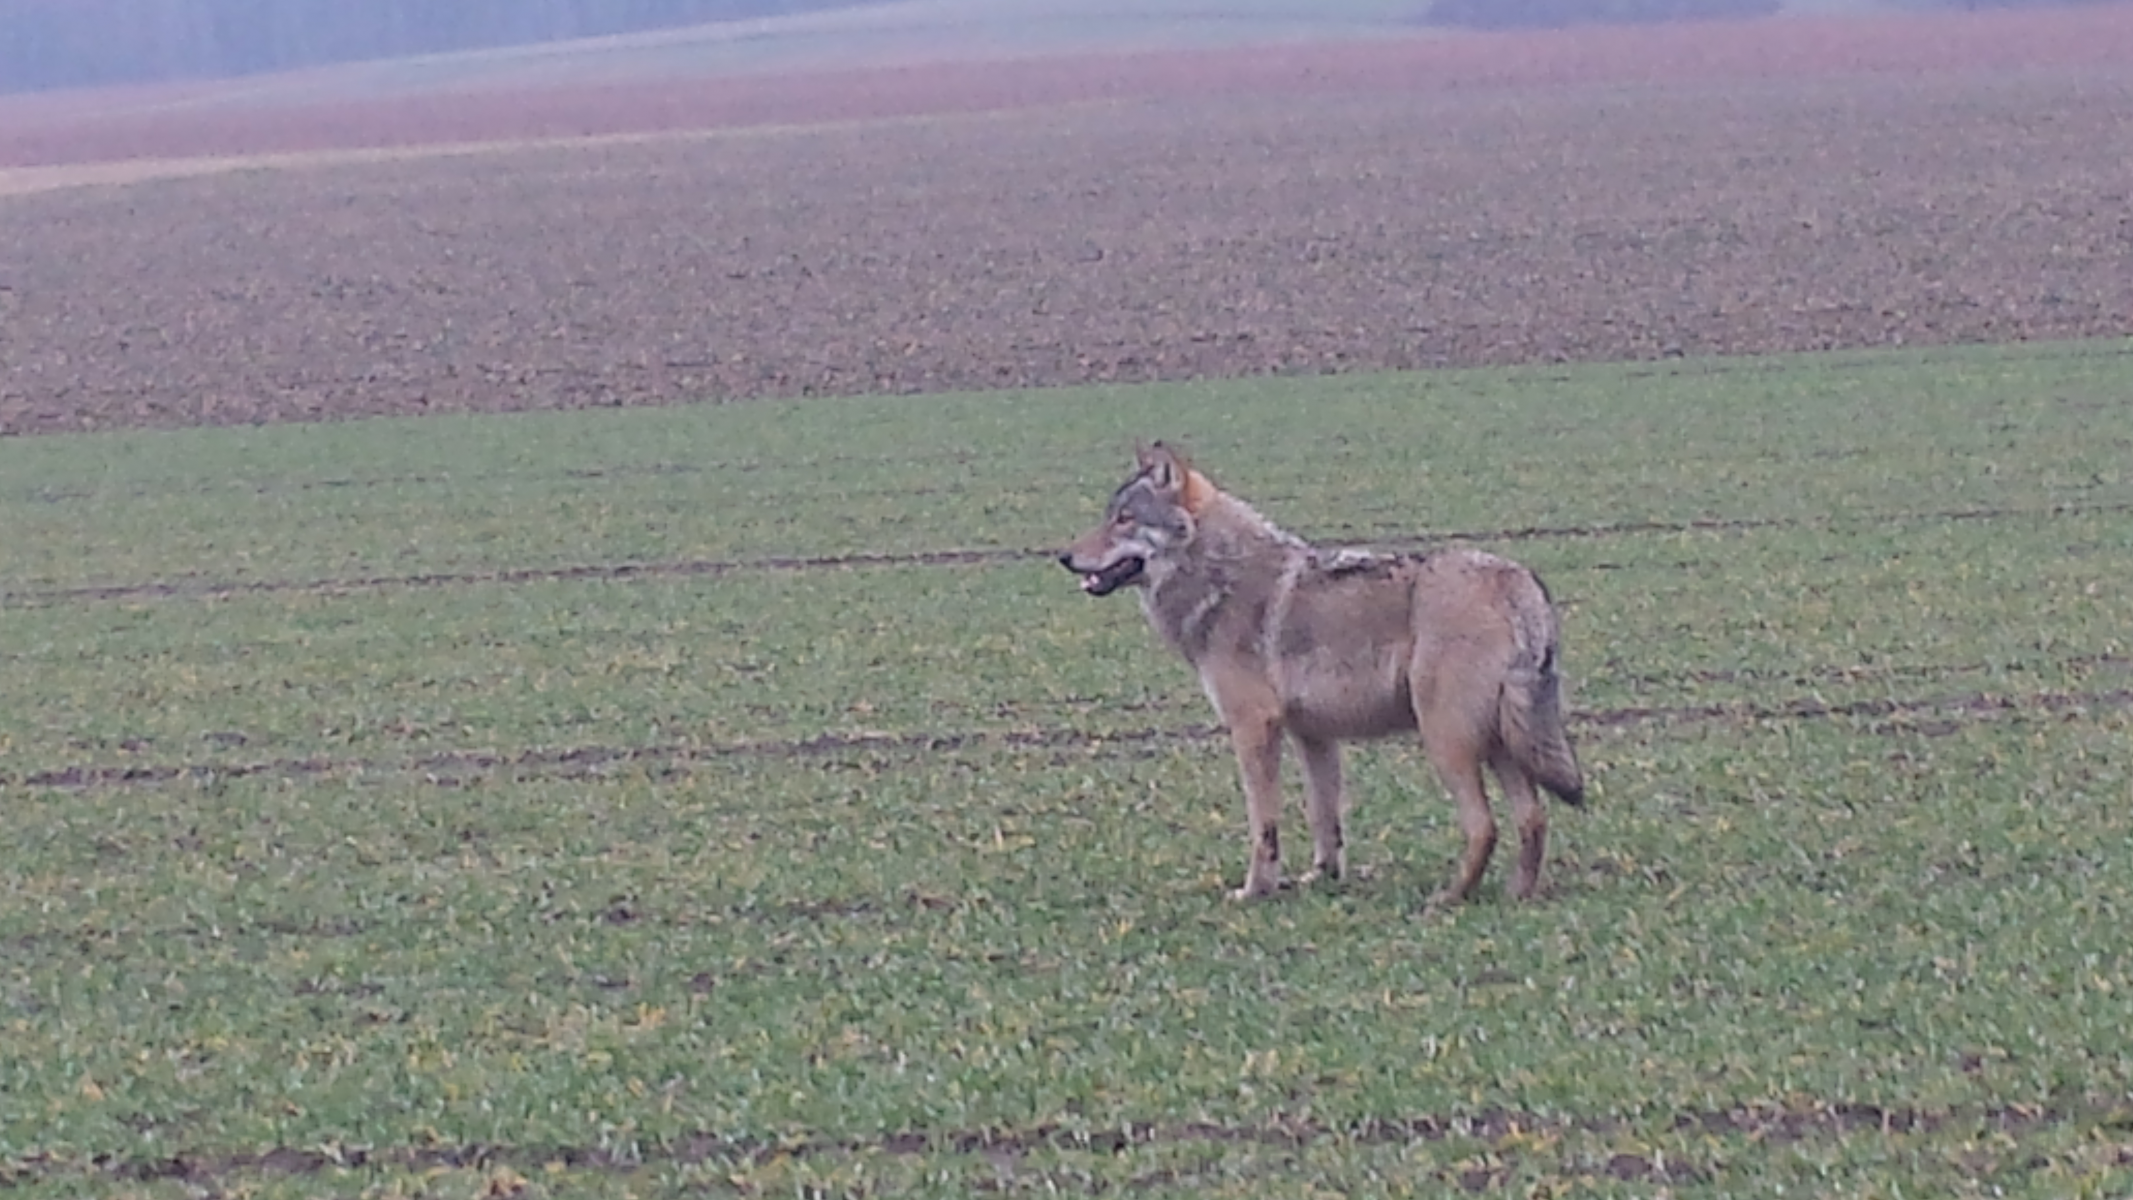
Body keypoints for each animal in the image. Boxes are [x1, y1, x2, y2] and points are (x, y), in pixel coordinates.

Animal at [1062, 445, 1586, 907]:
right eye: (1109, 516)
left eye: (1124, 519)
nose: (1064, 557)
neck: (1217, 578)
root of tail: (1518, 581)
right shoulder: (1313, 737)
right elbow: (1324, 818)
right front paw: (1322, 878)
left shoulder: (1253, 729)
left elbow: (1263, 825)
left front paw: (1255, 890)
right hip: (1499, 744)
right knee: (1533, 818)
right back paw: (1517, 894)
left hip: (1448, 744)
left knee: (1484, 826)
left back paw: (1450, 897)